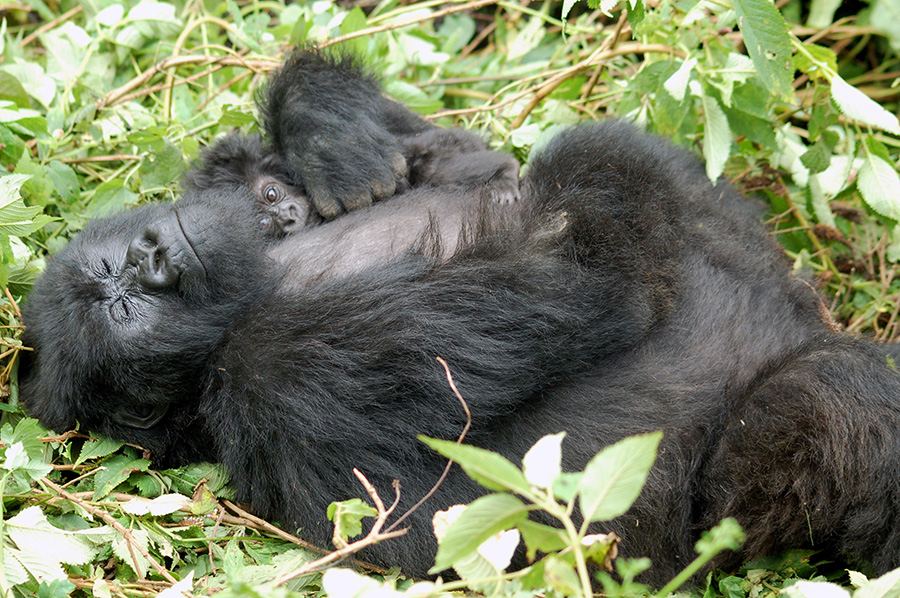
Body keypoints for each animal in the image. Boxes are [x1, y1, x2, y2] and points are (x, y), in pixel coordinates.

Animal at [19, 51, 900, 584]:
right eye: (122, 307)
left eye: (120, 262)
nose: (153, 256)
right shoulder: (273, 373)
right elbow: (586, 274)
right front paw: (598, 184)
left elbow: (466, 156)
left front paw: (324, 121)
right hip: (734, 508)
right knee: (826, 403)